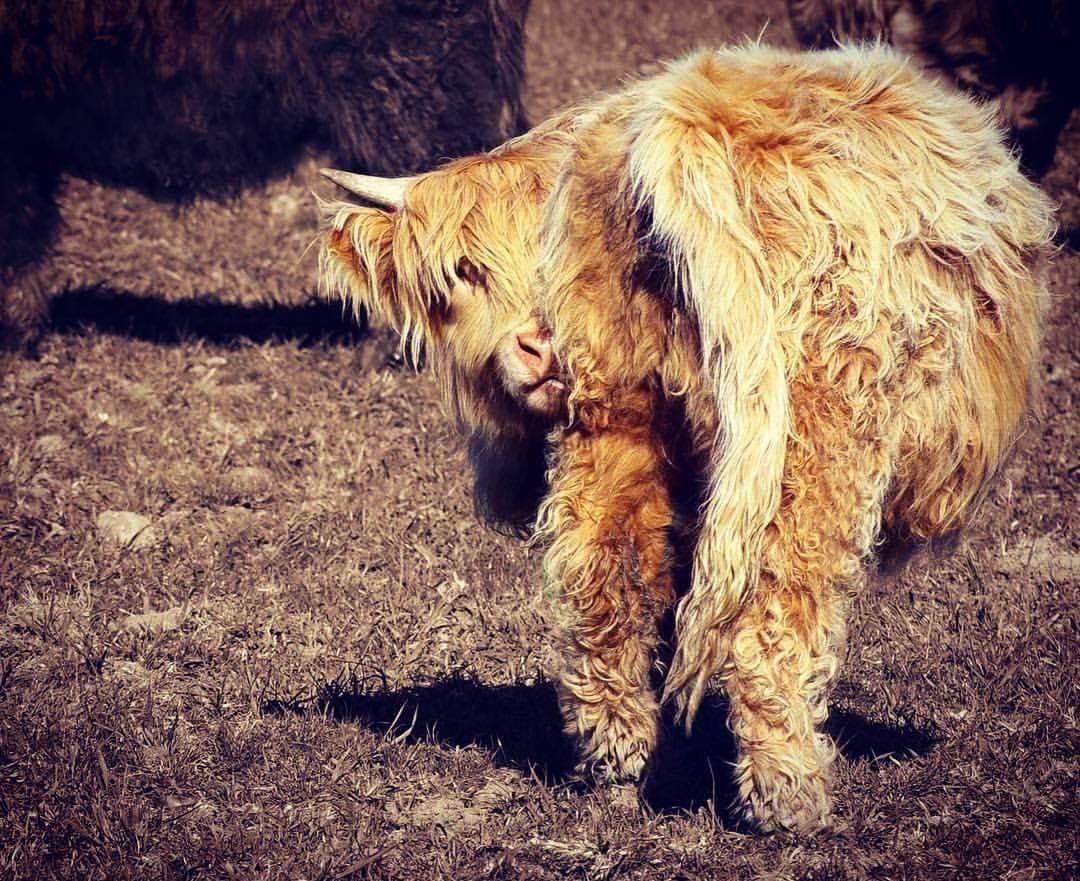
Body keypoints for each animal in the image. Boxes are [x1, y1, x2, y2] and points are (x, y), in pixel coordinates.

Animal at [320, 44, 1054, 832]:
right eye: (465, 271)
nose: (538, 348)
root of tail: (688, 118)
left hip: (618, 411)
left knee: (603, 570)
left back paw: (620, 761)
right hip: (815, 430)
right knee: (779, 608)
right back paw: (788, 798)